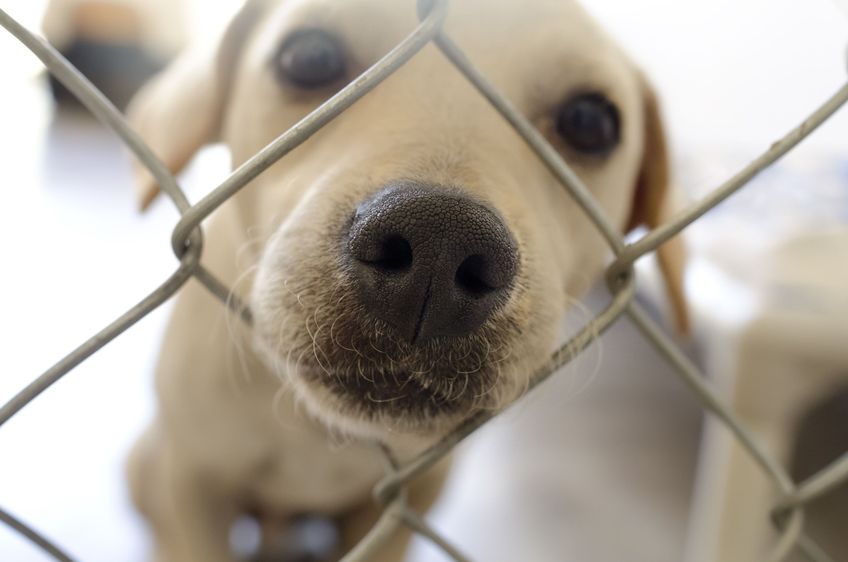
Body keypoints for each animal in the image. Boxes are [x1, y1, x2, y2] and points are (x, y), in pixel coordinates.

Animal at [126, 0, 684, 556]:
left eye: (589, 121)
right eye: (310, 56)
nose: (440, 243)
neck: (317, 430)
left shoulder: (412, 497)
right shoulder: (193, 482)